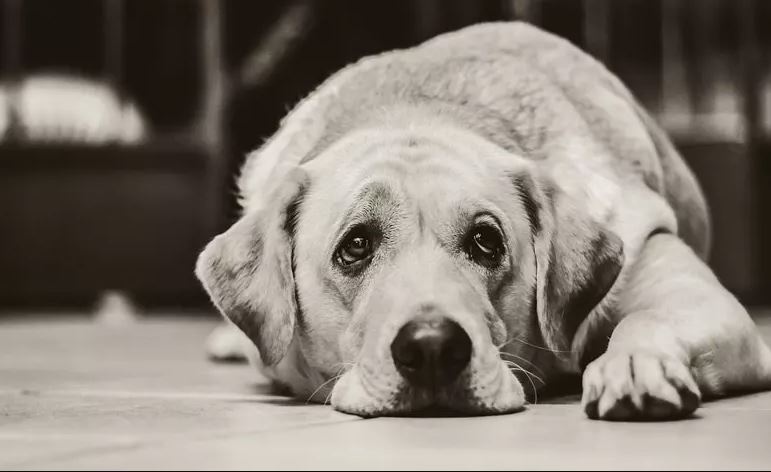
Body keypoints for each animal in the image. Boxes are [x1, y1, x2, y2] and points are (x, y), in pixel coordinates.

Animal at [196, 22, 771, 420]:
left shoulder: (697, 294)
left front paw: (634, 363)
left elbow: (646, 319)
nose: (431, 348)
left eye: (485, 241)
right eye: (355, 246)